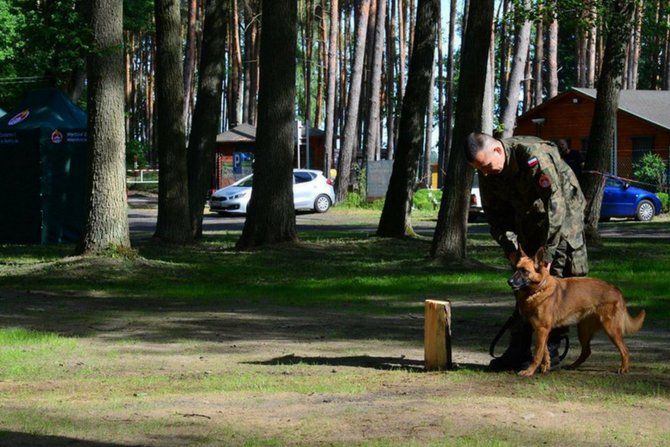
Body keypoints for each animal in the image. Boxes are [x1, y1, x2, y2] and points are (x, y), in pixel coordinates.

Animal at [512, 248, 648, 378]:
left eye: (525, 271)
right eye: (516, 268)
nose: (510, 281)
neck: (539, 289)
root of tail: (617, 290)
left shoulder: (542, 329)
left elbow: (537, 354)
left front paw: (529, 371)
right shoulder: (541, 331)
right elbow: (544, 351)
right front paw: (546, 366)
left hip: (611, 329)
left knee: (625, 350)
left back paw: (624, 368)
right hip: (583, 331)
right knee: (587, 351)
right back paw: (573, 365)